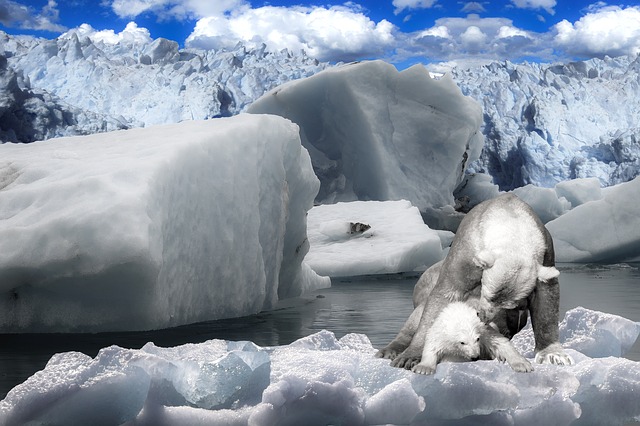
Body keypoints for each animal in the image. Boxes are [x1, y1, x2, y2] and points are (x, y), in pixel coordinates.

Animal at [378, 193, 572, 370]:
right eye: (487, 294)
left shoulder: (546, 251)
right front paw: (410, 357)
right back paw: (389, 350)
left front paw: (554, 355)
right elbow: (445, 294)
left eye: (511, 305)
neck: (509, 216)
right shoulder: (466, 251)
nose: (483, 317)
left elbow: (546, 298)